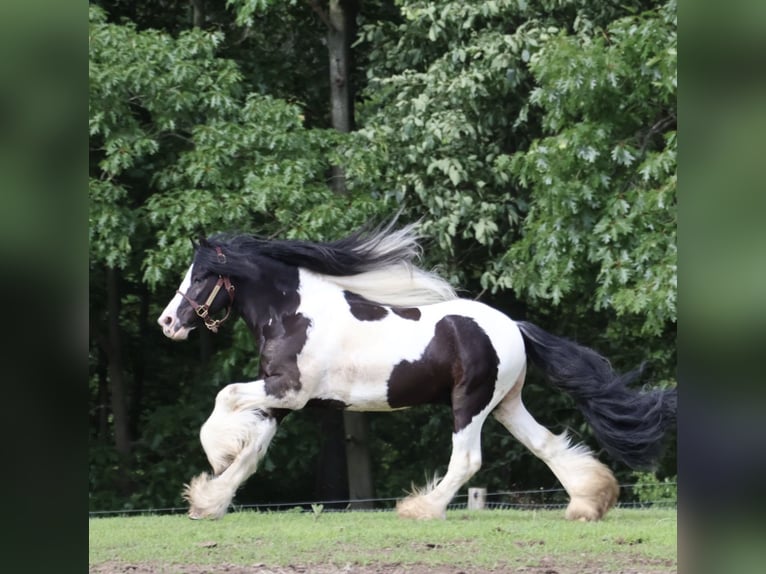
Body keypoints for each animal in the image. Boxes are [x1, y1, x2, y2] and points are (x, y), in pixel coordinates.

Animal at [157, 221, 676, 521]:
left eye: (200, 276)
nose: (167, 323)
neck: (294, 313)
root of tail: (513, 327)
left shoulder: (288, 391)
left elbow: (225, 398)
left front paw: (216, 456)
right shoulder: (281, 400)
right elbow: (252, 452)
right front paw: (208, 502)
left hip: (470, 403)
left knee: (467, 460)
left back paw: (419, 509)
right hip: (505, 404)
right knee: (546, 444)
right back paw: (589, 502)